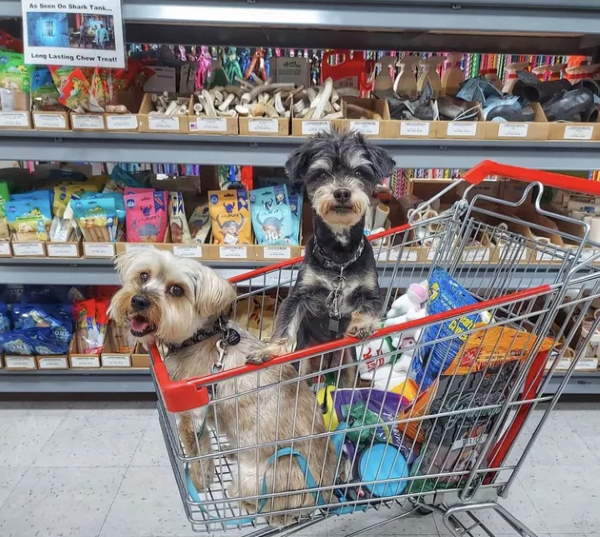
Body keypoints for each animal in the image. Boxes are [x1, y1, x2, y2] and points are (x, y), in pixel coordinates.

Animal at [109, 250, 342, 524]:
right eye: (144, 275)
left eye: (176, 290)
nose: (139, 300)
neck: (199, 337)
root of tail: (324, 492)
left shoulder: (192, 417)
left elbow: (198, 451)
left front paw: (200, 481)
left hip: (253, 478)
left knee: (268, 509)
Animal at [247, 131, 394, 372]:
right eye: (322, 173)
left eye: (359, 172)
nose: (342, 192)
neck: (339, 258)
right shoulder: (299, 295)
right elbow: (285, 323)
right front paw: (270, 350)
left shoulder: (372, 293)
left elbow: (369, 308)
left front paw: (362, 325)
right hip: (304, 361)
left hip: (348, 364)